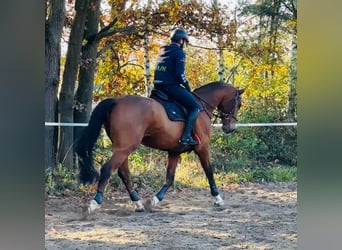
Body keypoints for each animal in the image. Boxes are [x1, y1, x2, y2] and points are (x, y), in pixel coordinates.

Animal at [76, 80, 244, 213]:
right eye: (239, 104)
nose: (230, 128)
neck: (202, 105)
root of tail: (116, 101)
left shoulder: (174, 152)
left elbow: (169, 178)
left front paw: (155, 200)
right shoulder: (202, 148)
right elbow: (209, 172)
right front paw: (218, 198)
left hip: (122, 148)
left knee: (123, 173)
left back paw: (138, 203)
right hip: (125, 148)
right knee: (107, 169)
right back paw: (94, 203)